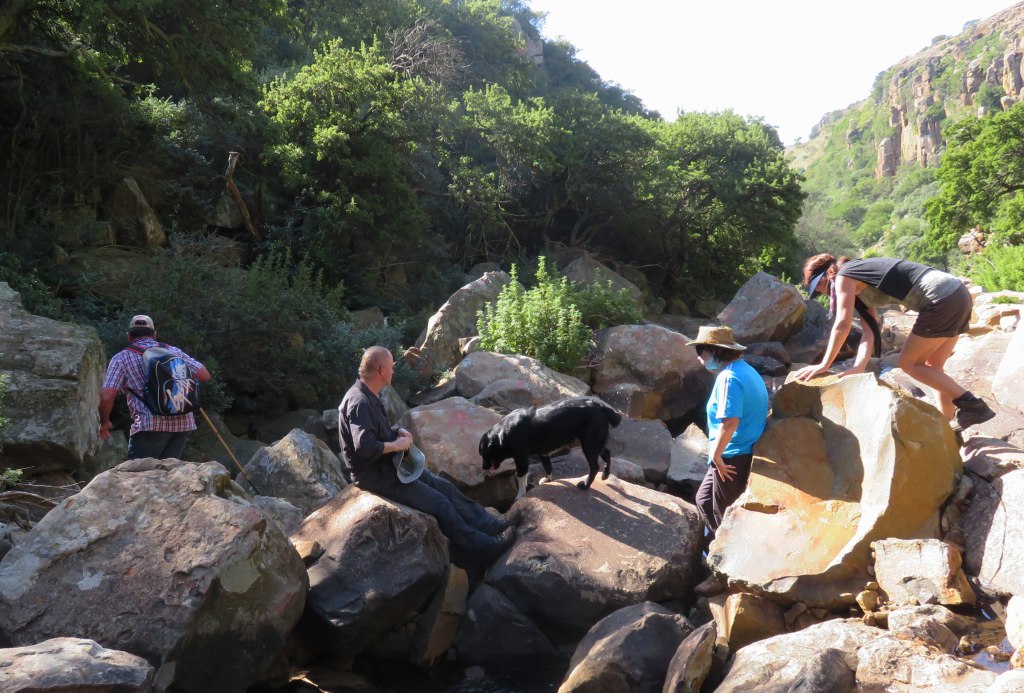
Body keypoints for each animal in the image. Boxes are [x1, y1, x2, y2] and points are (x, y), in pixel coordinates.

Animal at [479, 395, 622, 497]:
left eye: (484, 454)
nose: (484, 468)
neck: (503, 433)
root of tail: (603, 406)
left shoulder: (521, 459)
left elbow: (521, 479)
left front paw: (520, 496)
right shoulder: (543, 453)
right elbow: (548, 467)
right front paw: (548, 480)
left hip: (589, 444)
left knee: (594, 467)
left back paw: (585, 485)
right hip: (595, 442)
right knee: (607, 453)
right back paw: (605, 475)